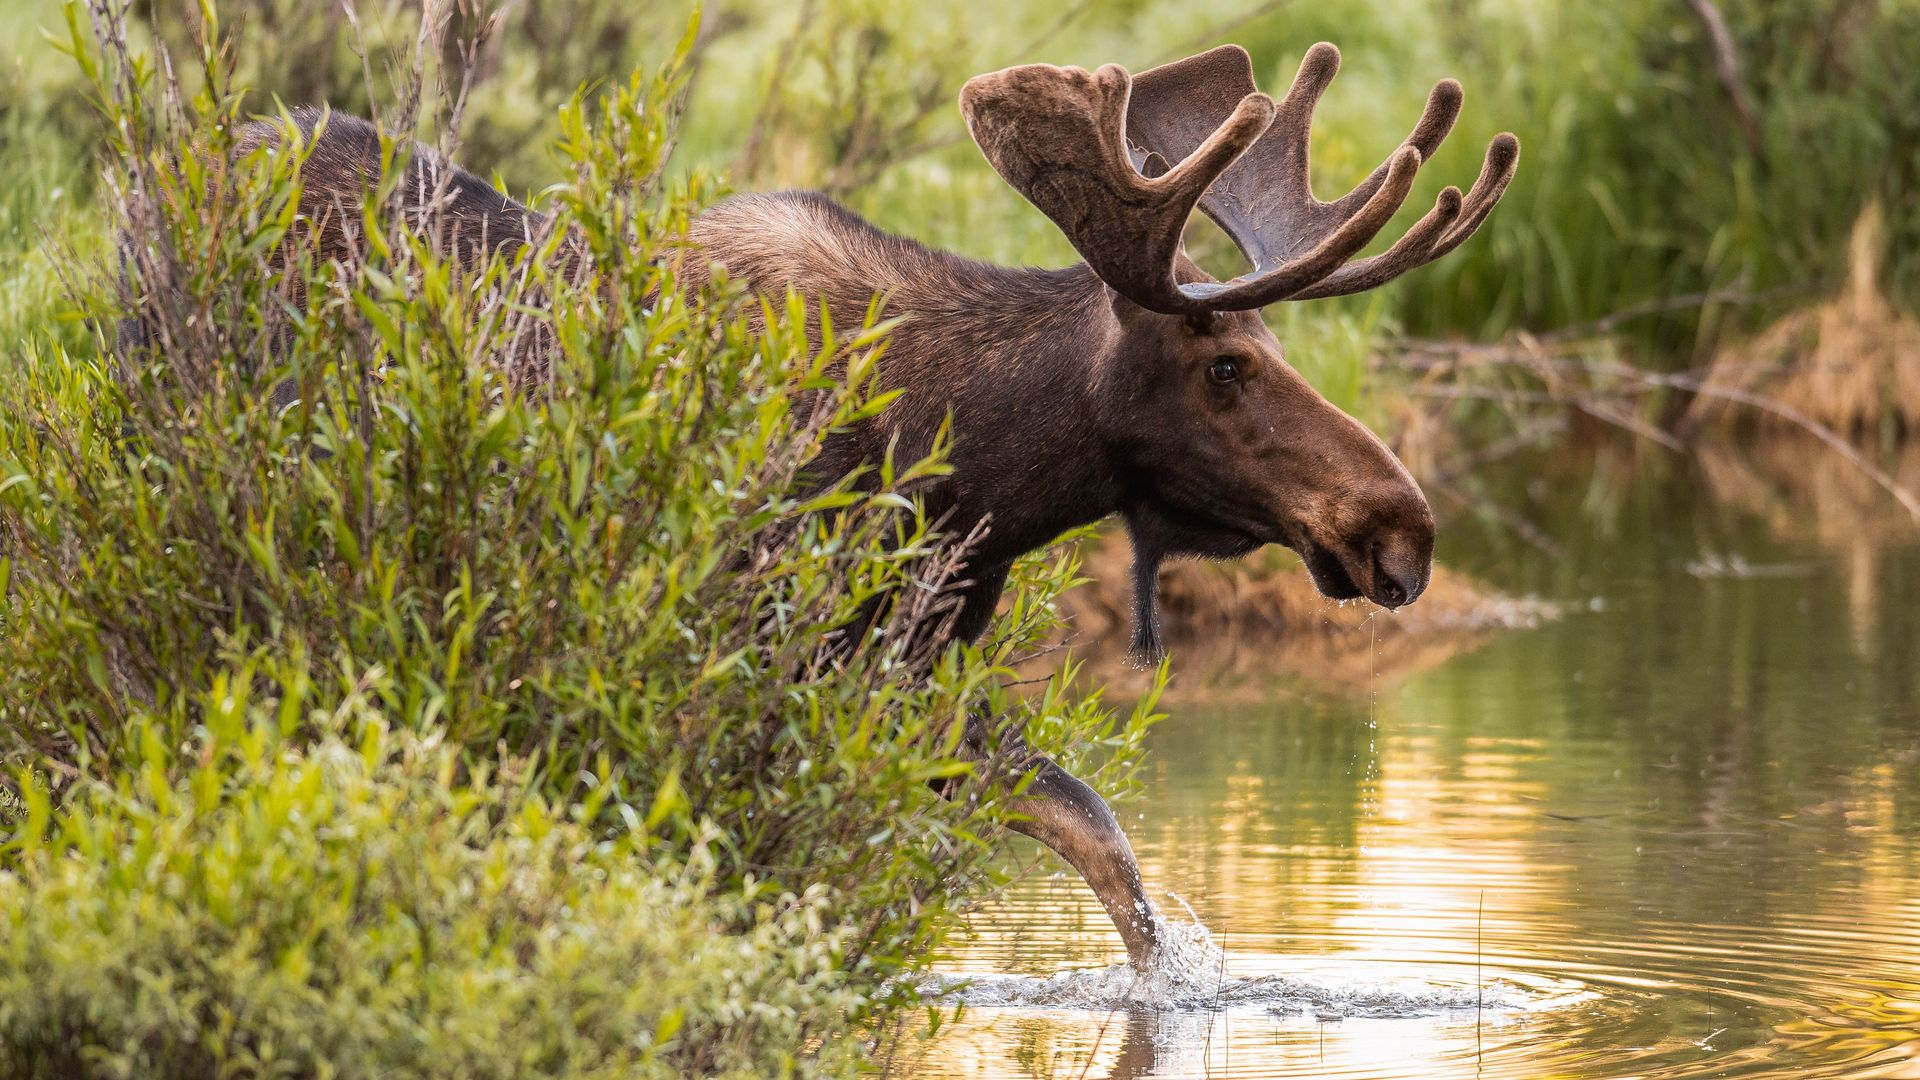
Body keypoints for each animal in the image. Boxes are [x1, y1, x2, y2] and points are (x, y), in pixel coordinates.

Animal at [180, 42, 1512, 968]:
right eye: (1225, 365)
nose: (1401, 527)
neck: (972, 475)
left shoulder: (905, 673)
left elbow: (1097, 834)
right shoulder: (751, 651)